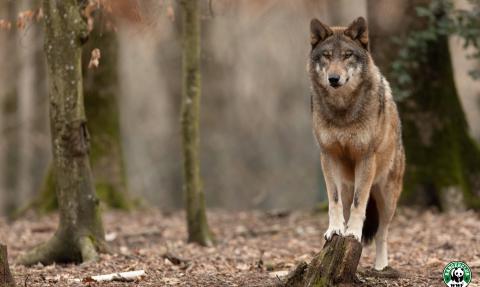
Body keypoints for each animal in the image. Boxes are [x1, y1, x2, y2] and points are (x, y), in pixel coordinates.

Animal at [308, 16, 404, 272]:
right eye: (327, 56)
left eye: (347, 55)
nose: (334, 79)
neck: (343, 110)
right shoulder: (327, 155)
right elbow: (333, 200)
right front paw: (335, 230)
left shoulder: (365, 157)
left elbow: (360, 204)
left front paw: (352, 233)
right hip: (347, 183)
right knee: (346, 202)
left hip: (387, 197)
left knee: (382, 233)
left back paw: (381, 267)